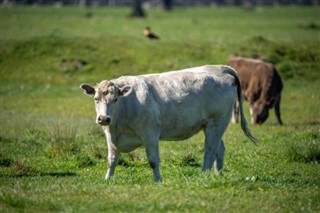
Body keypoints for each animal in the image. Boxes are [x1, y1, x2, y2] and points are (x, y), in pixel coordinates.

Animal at [80, 65, 258, 181]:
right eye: (96, 99)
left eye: (115, 99)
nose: (104, 118)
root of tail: (221, 68)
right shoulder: (111, 137)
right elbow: (111, 160)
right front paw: (107, 179)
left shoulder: (150, 134)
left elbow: (153, 160)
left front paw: (158, 181)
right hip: (213, 125)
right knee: (219, 149)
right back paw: (217, 174)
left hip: (217, 122)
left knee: (209, 149)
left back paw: (203, 174)